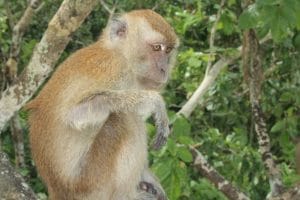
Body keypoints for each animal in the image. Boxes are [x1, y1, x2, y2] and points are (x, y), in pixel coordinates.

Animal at [25, 9, 178, 200]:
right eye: (157, 48)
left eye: (168, 50)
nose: (164, 69)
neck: (120, 53)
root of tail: (58, 192)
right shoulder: (113, 67)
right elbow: (75, 114)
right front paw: (155, 102)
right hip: (91, 184)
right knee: (121, 118)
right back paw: (126, 195)